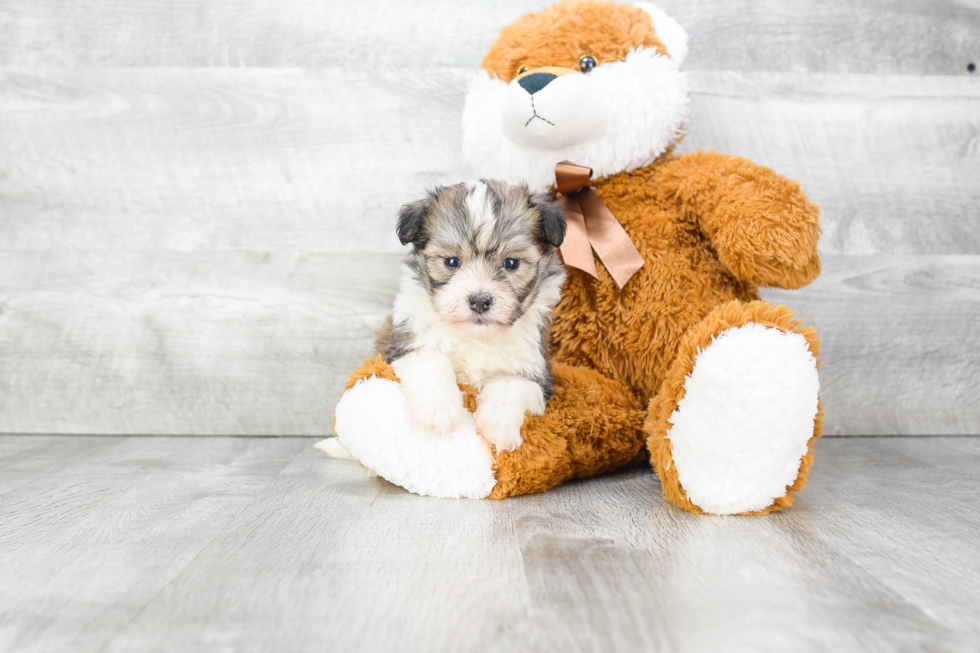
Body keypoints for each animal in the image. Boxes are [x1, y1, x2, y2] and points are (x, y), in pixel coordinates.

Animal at [380, 181, 572, 450]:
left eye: (511, 263)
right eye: (452, 262)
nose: (480, 301)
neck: (475, 337)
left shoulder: (534, 369)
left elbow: (511, 384)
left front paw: (498, 427)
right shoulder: (406, 344)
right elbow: (431, 360)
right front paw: (438, 412)